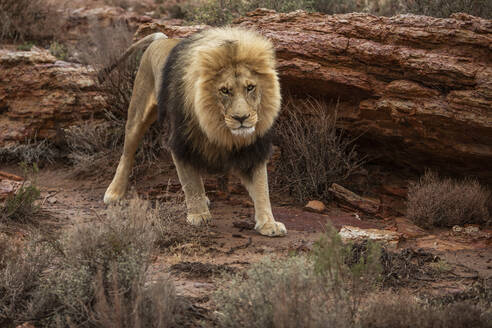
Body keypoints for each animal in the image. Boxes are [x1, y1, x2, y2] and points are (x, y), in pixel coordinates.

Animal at [104, 25, 288, 236]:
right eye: (225, 91)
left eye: (250, 87)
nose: (241, 118)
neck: (216, 126)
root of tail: (161, 39)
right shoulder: (182, 143)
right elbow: (190, 180)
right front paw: (199, 215)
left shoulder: (253, 148)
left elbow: (261, 187)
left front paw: (268, 223)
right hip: (137, 113)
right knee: (127, 153)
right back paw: (114, 192)